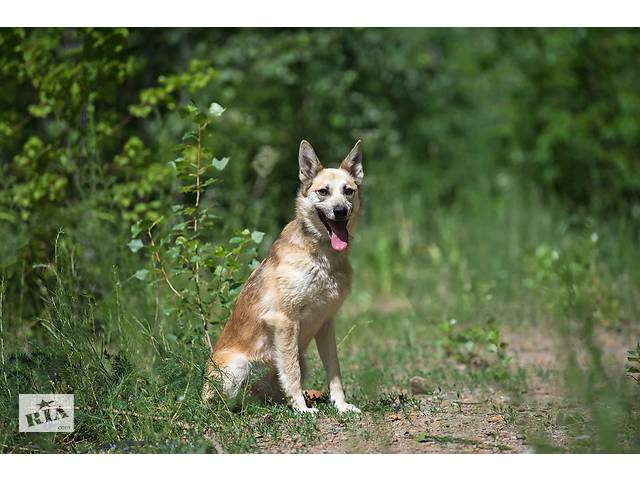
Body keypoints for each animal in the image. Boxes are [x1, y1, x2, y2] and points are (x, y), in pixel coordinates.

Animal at [202, 138, 362, 412]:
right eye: (323, 192)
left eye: (348, 191)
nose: (340, 211)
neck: (322, 256)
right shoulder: (285, 322)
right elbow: (291, 373)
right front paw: (302, 409)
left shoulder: (326, 324)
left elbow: (334, 371)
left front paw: (341, 406)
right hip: (238, 368)